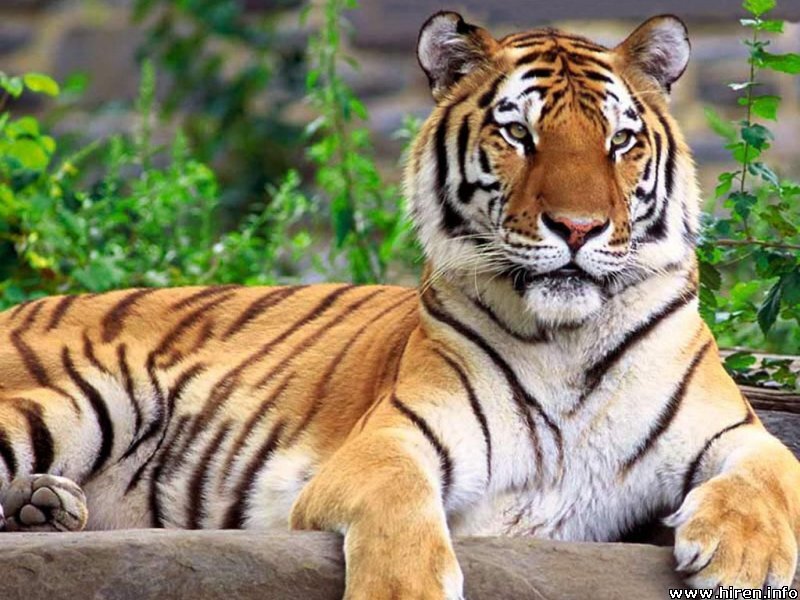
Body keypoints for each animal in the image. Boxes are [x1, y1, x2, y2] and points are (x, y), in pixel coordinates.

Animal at [0, 10, 797, 600]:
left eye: (620, 140)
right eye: (519, 132)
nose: (577, 228)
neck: (567, 339)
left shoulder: (733, 428)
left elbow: (774, 472)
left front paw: (743, 560)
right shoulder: (390, 441)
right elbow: (401, 509)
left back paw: (45, 506)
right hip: (88, 398)